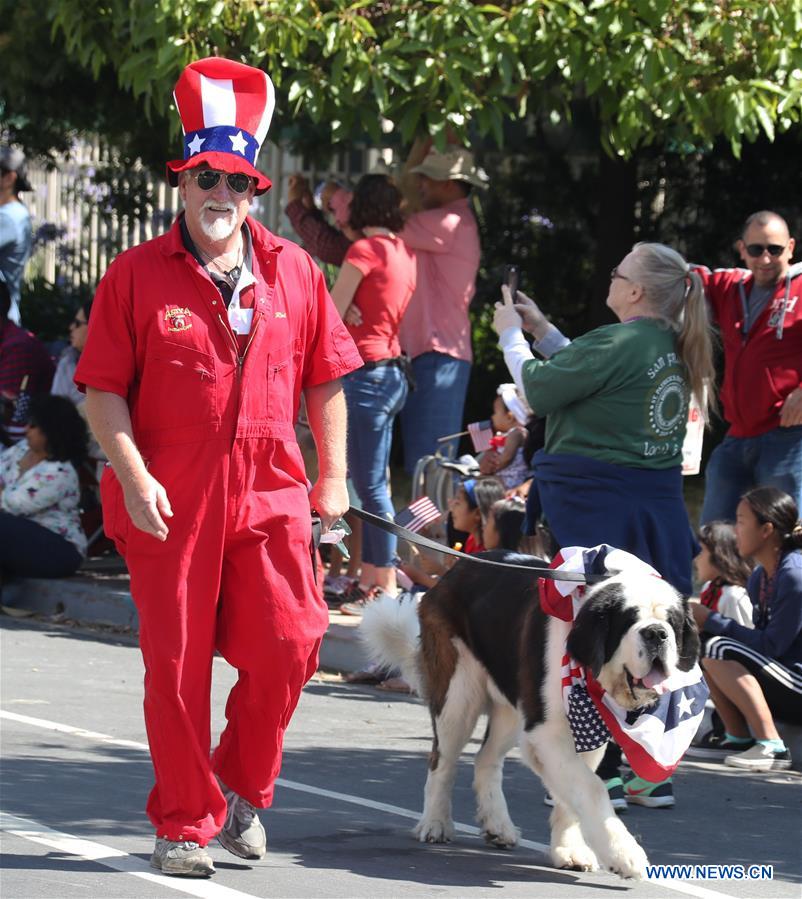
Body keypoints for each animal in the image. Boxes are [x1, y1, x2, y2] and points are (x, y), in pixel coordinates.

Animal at [360, 548, 696, 880]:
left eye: (672, 622)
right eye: (629, 620)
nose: (656, 634)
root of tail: (454, 570)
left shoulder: (583, 731)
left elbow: (574, 792)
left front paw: (569, 850)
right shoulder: (548, 731)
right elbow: (592, 787)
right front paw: (624, 854)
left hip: (511, 707)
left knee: (486, 759)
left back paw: (497, 826)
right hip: (458, 694)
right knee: (442, 761)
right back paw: (435, 823)